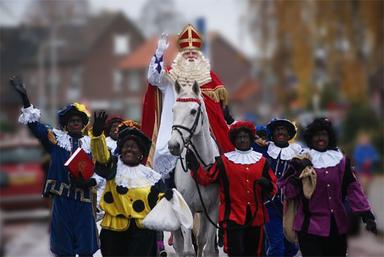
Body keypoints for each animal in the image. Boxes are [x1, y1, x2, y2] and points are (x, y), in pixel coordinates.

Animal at [170, 80, 220, 256]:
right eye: (173, 110)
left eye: (193, 111)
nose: (173, 145)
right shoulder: (187, 209)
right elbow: (188, 250)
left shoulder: (212, 209)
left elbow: (209, 248)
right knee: (178, 245)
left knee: (201, 240)